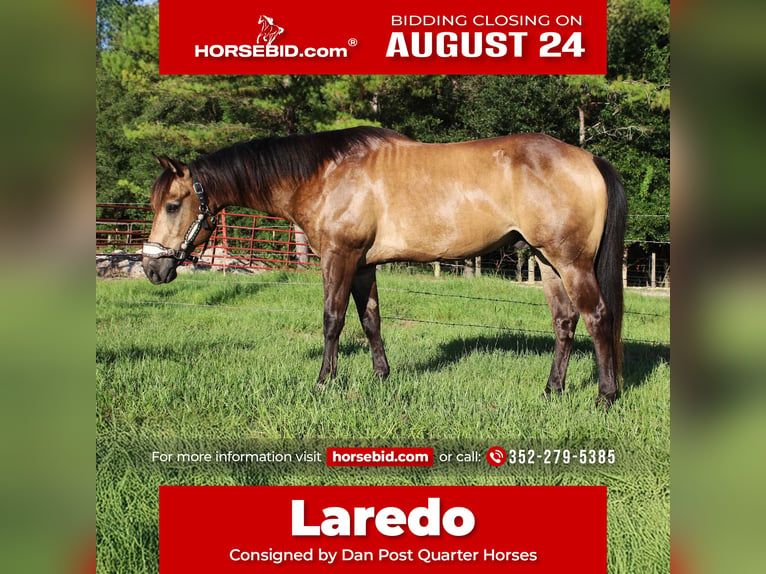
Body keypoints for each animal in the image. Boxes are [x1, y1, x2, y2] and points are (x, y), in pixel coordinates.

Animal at [143, 127, 627, 406]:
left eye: (172, 205)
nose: (152, 268)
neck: (324, 173)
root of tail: (588, 159)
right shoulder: (362, 265)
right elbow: (370, 320)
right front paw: (381, 377)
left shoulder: (339, 256)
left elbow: (333, 320)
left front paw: (324, 382)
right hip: (547, 261)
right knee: (565, 322)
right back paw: (552, 391)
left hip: (570, 261)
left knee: (598, 317)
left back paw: (605, 397)